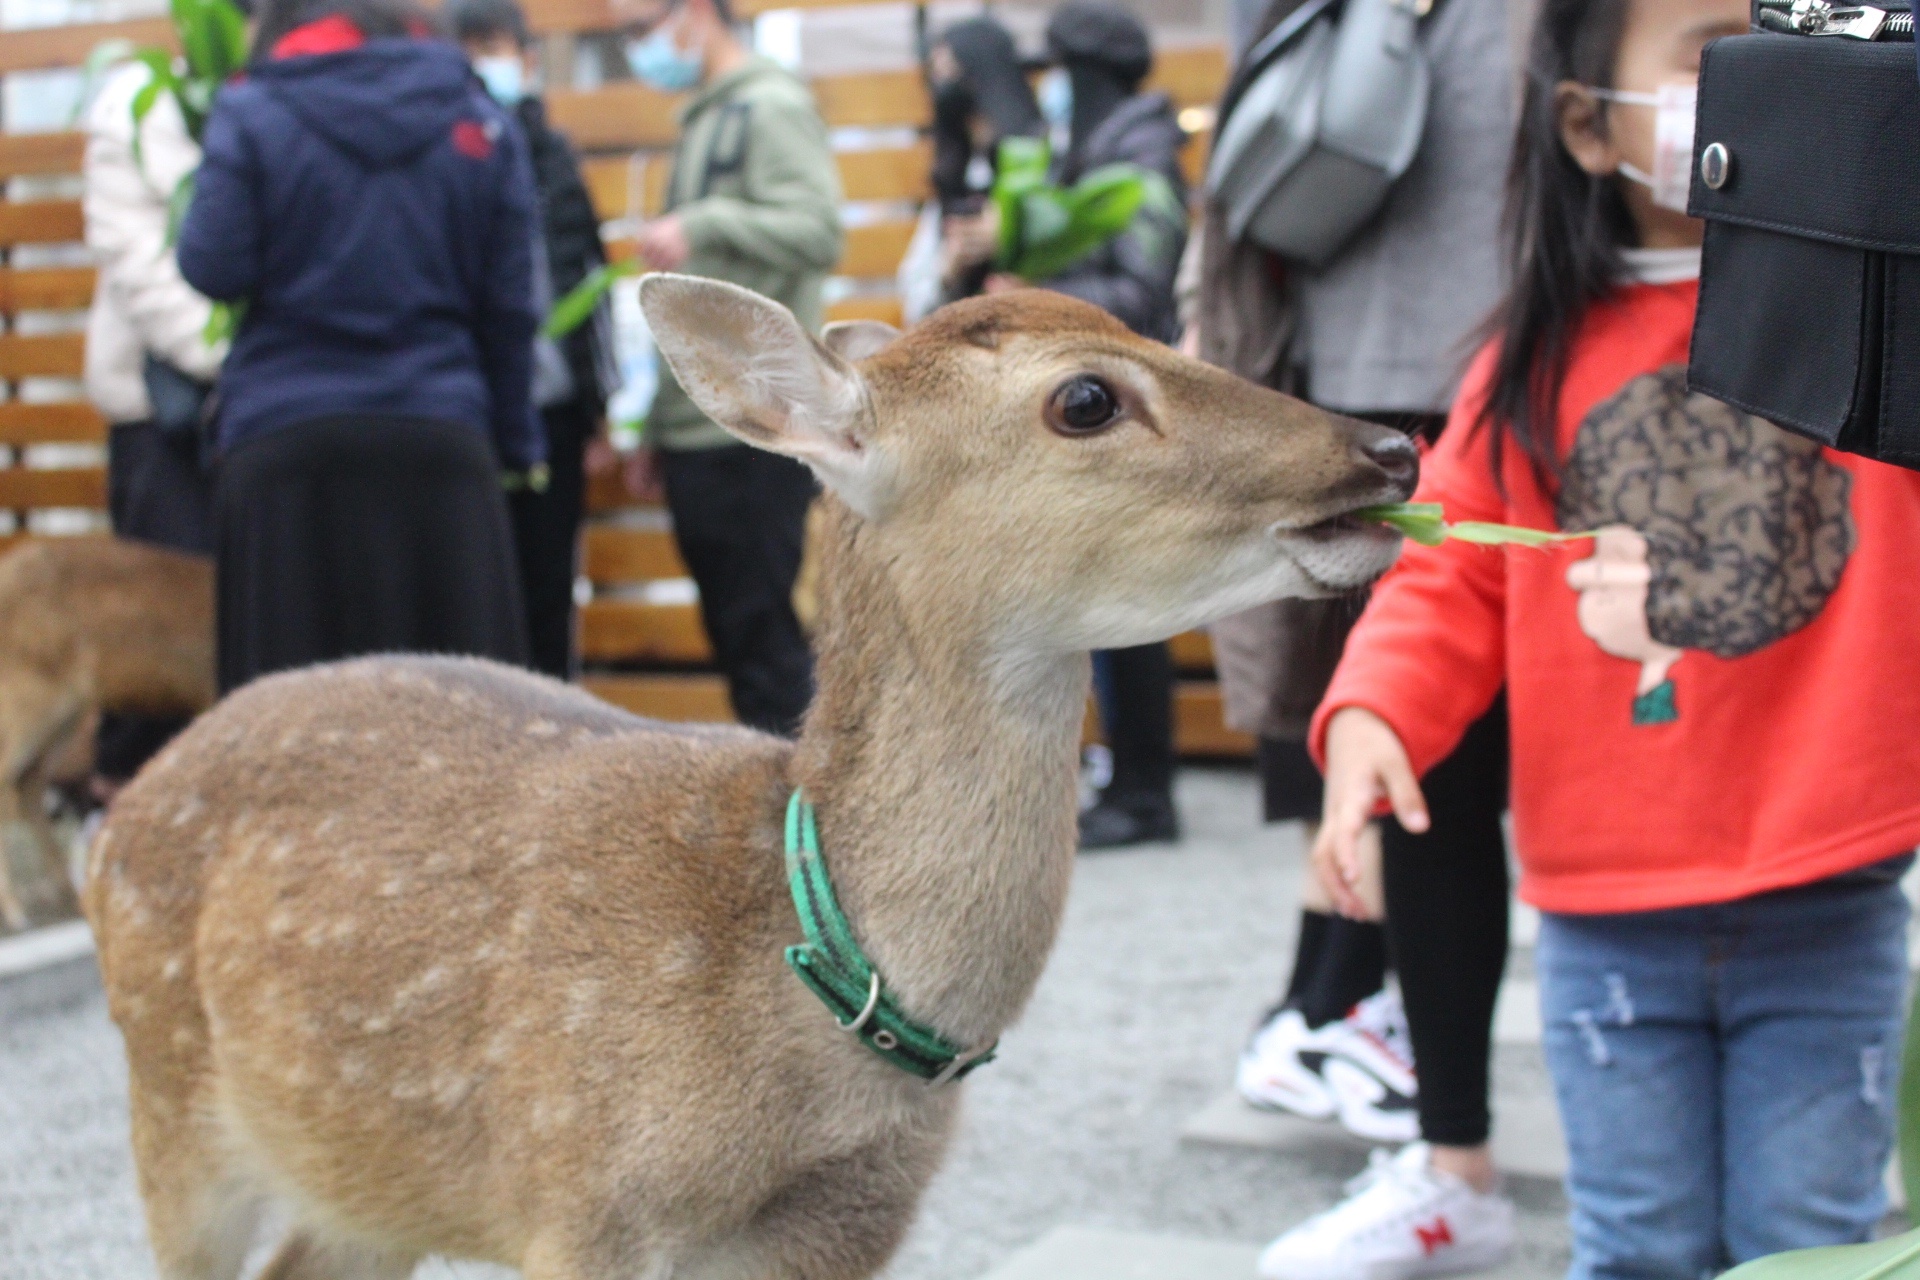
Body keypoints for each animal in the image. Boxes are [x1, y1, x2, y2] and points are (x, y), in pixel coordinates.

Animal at [89, 277, 1417, 1280]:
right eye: (1086, 397)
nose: (1391, 443)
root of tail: (118, 816)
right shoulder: (576, 1200)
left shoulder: (842, 1236)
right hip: (170, 1104)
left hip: (359, 1169)